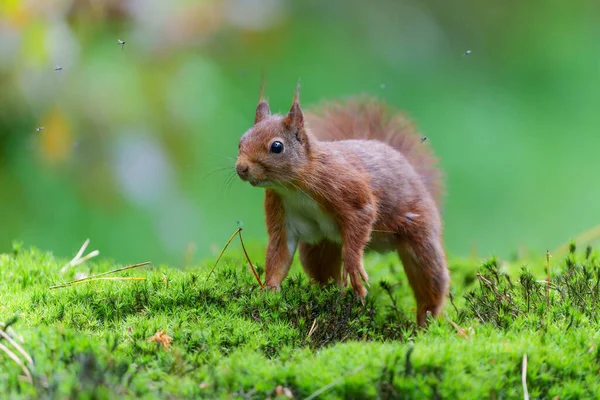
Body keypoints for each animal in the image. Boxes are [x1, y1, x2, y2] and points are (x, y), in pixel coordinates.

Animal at [234, 86, 450, 324]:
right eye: (240, 141)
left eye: (276, 146)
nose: (241, 168)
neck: (293, 186)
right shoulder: (280, 210)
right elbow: (279, 253)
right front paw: (269, 290)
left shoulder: (344, 188)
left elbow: (362, 215)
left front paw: (354, 268)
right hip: (320, 247)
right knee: (325, 272)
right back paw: (333, 297)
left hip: (420, 237)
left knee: (429, 280)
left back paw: (426, 320)